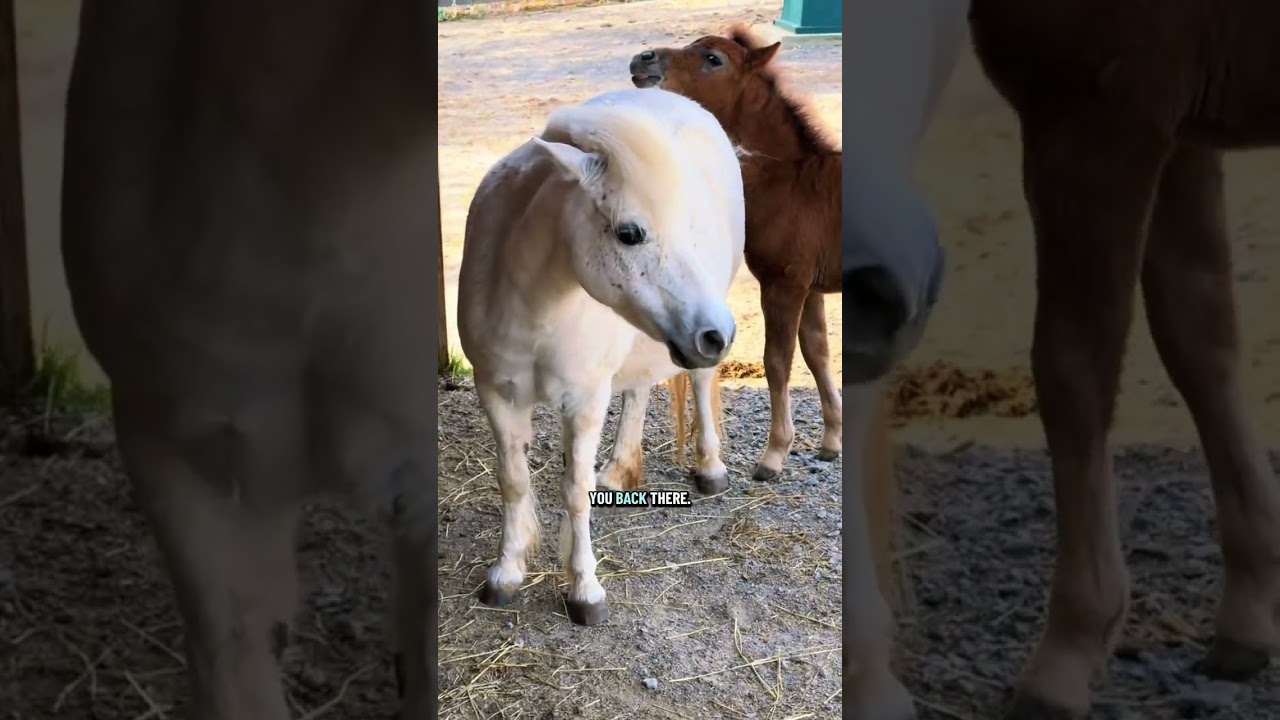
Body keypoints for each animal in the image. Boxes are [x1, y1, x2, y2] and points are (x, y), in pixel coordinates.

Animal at [456, 87, 745, 626]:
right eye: (629, 233)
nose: (717, 333)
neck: (536, 309)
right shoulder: (496, 394)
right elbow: (513, 481)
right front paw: (506, 573)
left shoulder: (585, 402)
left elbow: (574, 491)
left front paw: (584, 591)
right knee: (638, 390)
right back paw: (616, 470)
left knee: (699, 382)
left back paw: (710, 467)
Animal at [629, 24, 951, 719]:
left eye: (712, 57)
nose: (640, 61)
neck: (787, 178)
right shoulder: (817, 293)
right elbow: (819, 357)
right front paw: (828, 443)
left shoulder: (785, 286)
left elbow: (781, 362)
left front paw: (775, 456)